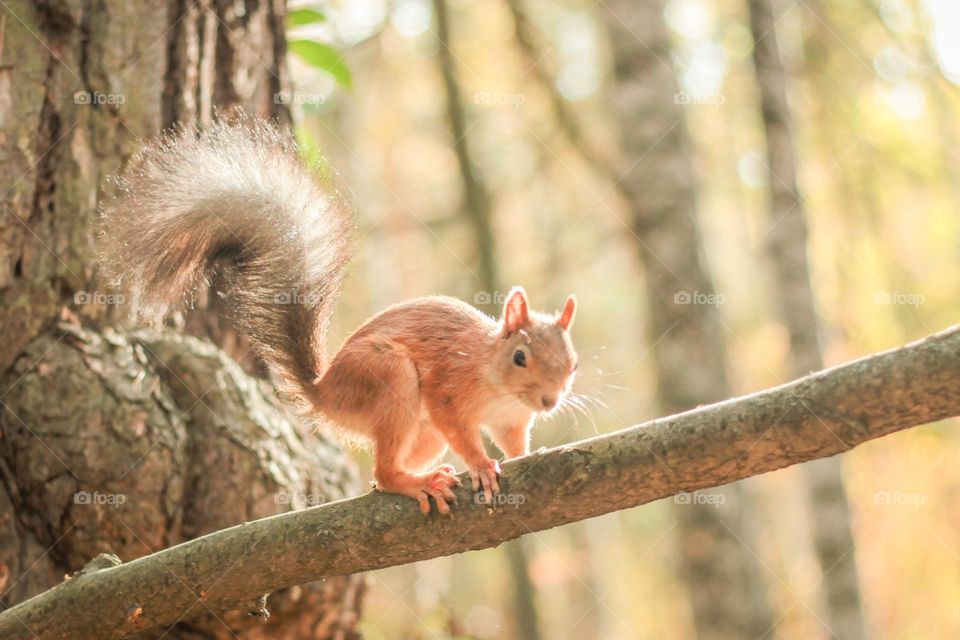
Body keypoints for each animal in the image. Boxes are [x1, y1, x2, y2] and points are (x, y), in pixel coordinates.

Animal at [99, 118, 578, 515]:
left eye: (573, 365)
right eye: (520, 357)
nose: (550, 402)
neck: (497, 382)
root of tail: (324, 391)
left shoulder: (511, 420)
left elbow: (514, 441)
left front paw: (523, 456)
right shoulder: (449, 389)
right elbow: (460, 429)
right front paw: (480, 464)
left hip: (422, 434)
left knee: (384, 471)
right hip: (388, 376)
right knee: (384, 472)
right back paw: (412, 483)